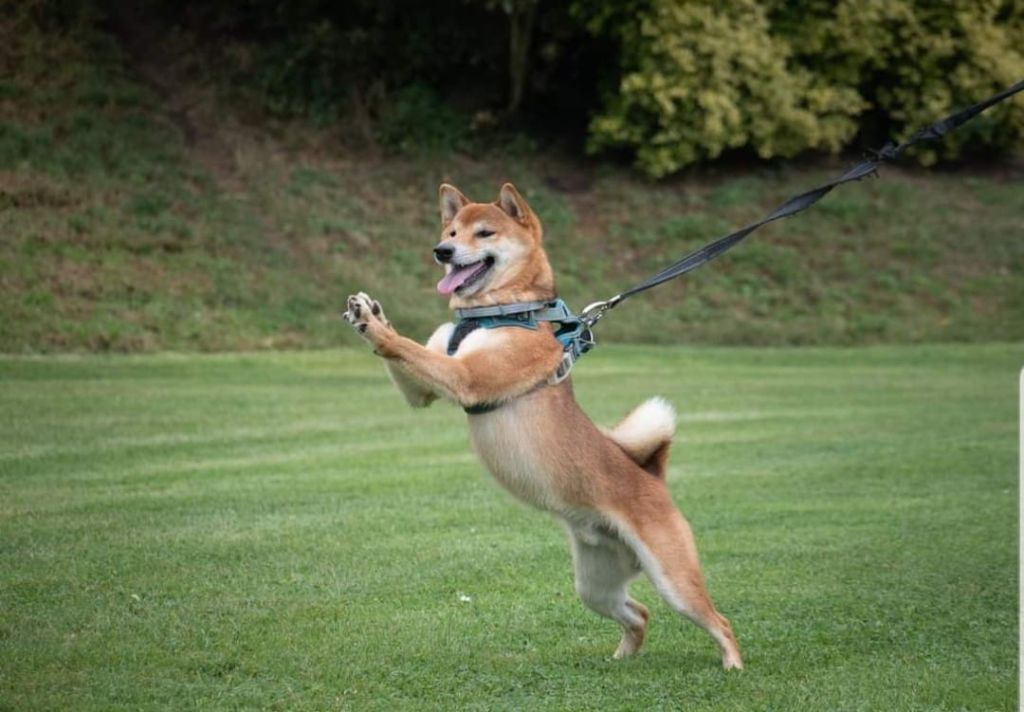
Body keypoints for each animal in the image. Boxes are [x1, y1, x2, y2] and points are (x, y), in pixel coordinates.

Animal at [346, 182, 745, 667]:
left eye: (483, 233)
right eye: (451, 231)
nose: (442, 252)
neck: (497, 312)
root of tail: (654, 477)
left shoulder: (466, 378)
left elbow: (403, 347)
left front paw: (373, 324)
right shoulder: (423, 389)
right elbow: (408, 359)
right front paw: (374, 314)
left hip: (673, 580)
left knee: (719, 621)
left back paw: (732, 666)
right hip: (594, 584)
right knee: (640, 613)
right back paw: (622, 658)